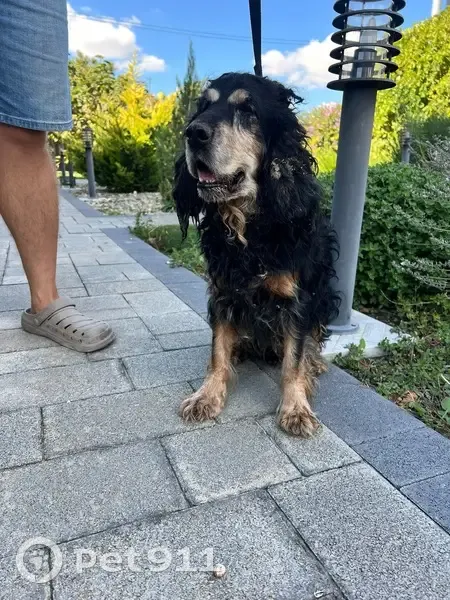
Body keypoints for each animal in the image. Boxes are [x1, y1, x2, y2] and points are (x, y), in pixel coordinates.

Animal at [173, 72, 339, 437]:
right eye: (203, 106)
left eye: (247, 109)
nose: (193, 133)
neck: (250, 228)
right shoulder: (223, 293)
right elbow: (218, 351)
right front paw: (206, 396)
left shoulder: (298, 300)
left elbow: (293, 362)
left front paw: (296, 408)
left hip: (327, 296)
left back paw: (315, 361)